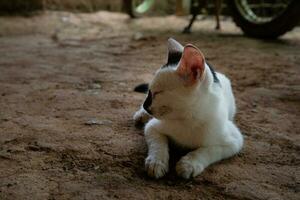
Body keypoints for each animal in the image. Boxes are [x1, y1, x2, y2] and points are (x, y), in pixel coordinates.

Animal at [134, 38, 244, 179]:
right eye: (150, 91)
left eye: (158, 93)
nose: (145, 106)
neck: (188, 118)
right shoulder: (152, 127)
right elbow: (157, 143)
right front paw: (156, 162)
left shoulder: (234, 141)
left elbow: (210, 150)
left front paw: (190, 163)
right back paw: (141, 115)